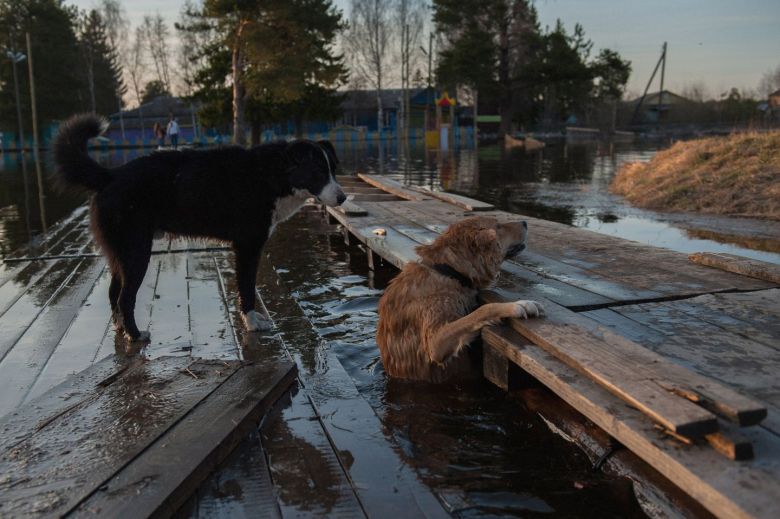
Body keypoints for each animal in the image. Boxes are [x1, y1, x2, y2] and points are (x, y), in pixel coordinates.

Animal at [53, 114, 346, 342]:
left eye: (333, 169)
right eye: (318, 172)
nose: (343, 198)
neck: (273, 174)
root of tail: (110, 175)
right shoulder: (248, 247)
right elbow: (247, 288)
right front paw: (251, 323)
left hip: (121, 255)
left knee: (114, 293)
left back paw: (122, 329)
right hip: (137, 253)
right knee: (125, 298)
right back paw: (136, 335)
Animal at [378, 215, 544, 382]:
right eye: (498, 226)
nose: (525, 222)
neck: (447, 271)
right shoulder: (435, 344)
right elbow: (483, 310)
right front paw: (519, 305)